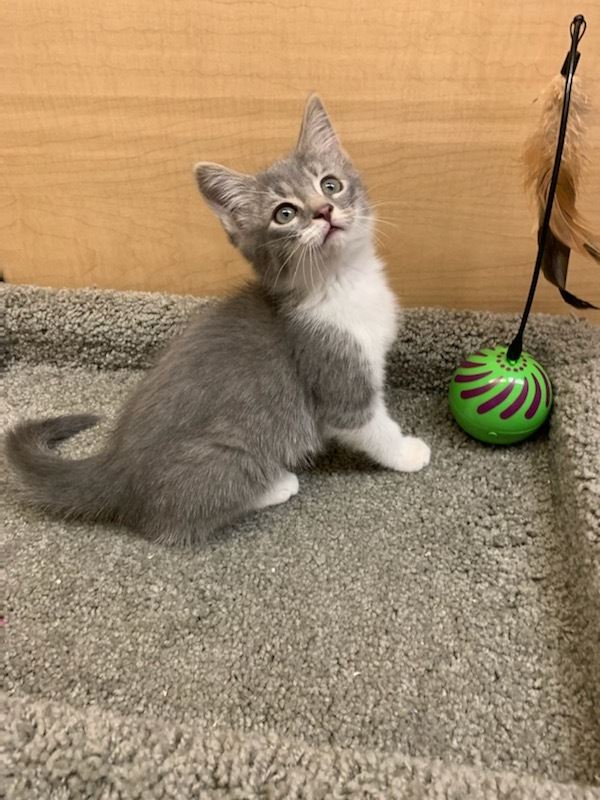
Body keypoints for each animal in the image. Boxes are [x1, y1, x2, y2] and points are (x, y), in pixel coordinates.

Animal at [4, 92, 428, 544]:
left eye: (330, 184)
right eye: (284, 214)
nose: (324, 210)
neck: (341, 282)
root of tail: (115, 468)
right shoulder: (333, 370)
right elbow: (369, 425)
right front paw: (407, 452)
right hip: (226, 456)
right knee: (178, 515)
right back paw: (275, 484)